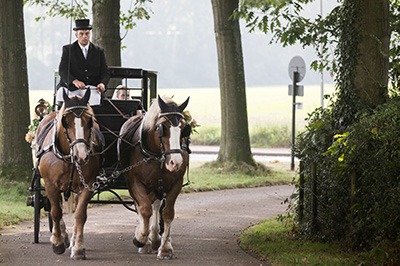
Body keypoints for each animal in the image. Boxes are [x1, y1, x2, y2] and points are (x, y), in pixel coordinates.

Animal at [34, 89, 104, 260]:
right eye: (66, 121)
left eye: (90, 121)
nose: (82, 156)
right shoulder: (50, 184)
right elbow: (55, 211)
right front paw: (57, 242)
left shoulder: (88, 185)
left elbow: (80, 214)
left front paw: (78, 247)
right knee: (56, 207)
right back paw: (62, 236)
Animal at [119, 96, 191, 260]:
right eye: (162, 126)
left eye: (184, 127)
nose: (176, 162)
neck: (158, 156)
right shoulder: (135, 183)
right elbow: (144, 209)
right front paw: (140, 238)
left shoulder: (175, 184)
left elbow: (168, 213)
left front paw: (165, 247)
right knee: (141, 207)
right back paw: (146, 241)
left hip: (157, 187)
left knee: (156, 205)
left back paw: (155, 237)